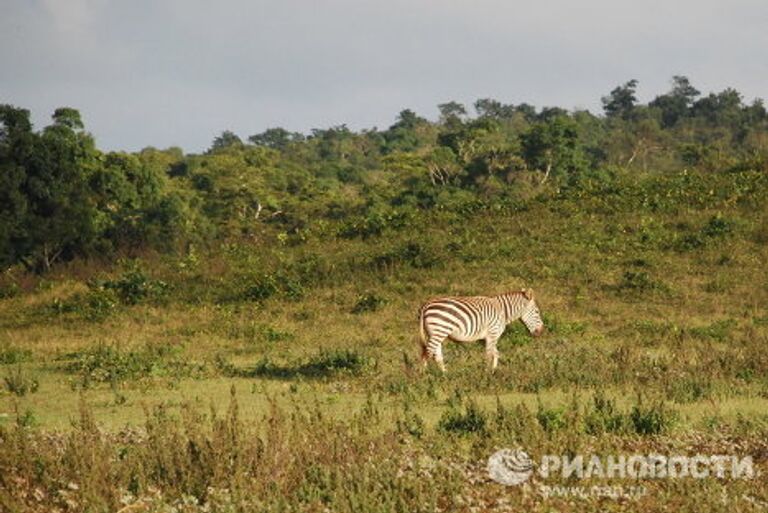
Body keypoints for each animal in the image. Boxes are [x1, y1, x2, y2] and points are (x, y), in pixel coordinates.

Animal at [416, 288, 544, 372]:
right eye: (537, 311)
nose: (541, 331)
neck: (502, 311)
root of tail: (426, 304)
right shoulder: (492, 334)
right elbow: (489, 355)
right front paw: (486, 375)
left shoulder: (486, 338)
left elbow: (496, 354)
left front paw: (493, 372)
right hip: (439, 331)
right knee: (426, 353)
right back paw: (423, 378)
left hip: (436, 334)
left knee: (437, 356)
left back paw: (445, 375)